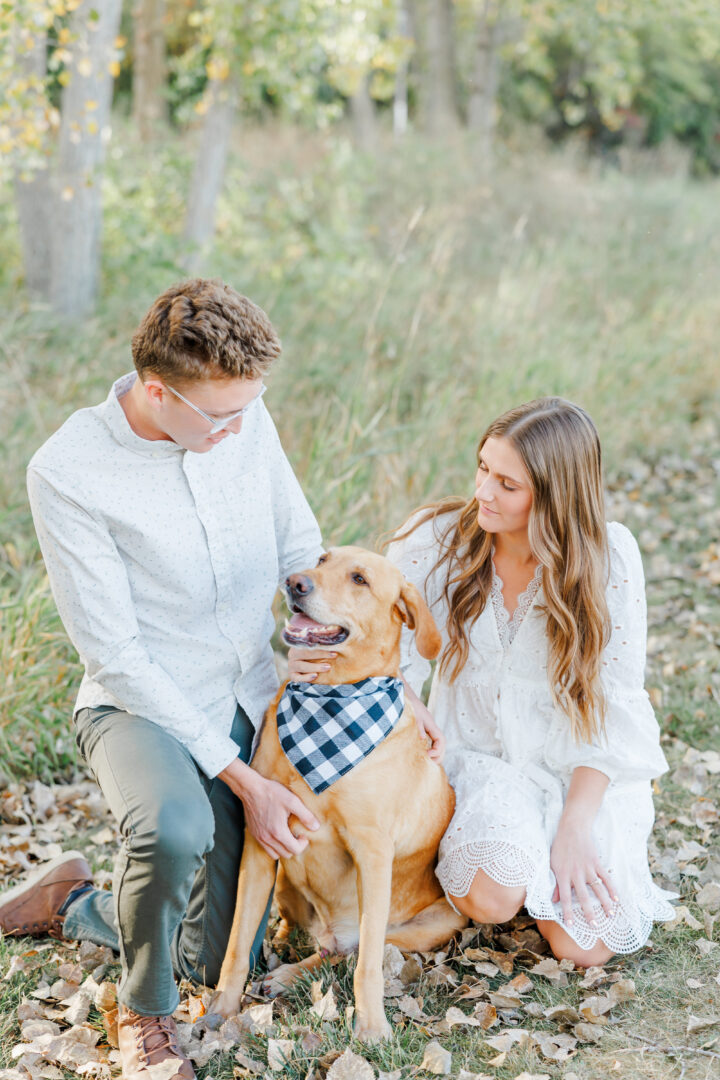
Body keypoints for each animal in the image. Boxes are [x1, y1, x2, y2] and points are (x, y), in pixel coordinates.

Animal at [211, 544, 468, 1041]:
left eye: (360, 579)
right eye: (321, 559)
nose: (295, 582)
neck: (330, 700)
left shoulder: (373, 853)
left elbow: (366, 965)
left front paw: (371, 1028)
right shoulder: (262, 839)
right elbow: (235, 944)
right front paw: (219, 1011)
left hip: (435, 921)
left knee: (349, 952)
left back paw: (293, 973)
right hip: (286, 879)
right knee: (312, 939)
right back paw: (283, 961)